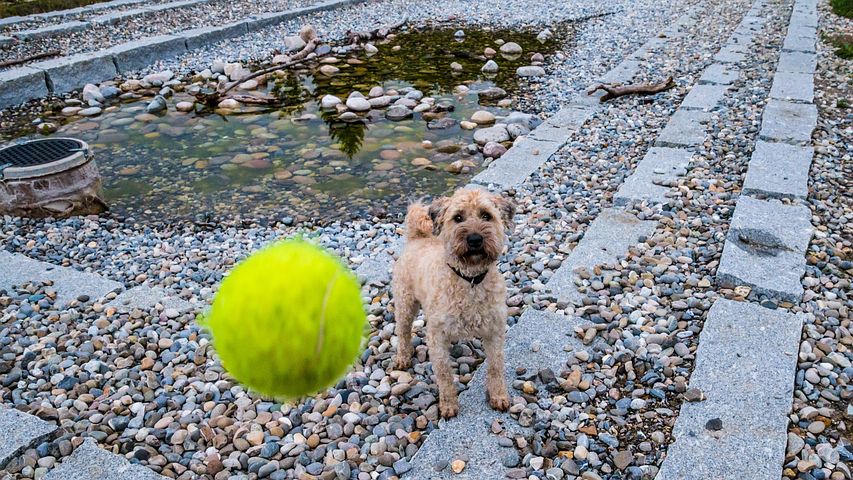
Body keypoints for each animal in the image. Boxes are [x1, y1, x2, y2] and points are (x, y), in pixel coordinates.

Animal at [392, 188, 516, 416]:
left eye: (486, 215)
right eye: (458, 218)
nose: (475, 239)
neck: (469, 280)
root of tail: (416, 238)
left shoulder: (495, 331)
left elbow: (495, 366)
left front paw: (498, 396)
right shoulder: (437, 337)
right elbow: (444, 374)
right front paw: (449, 404)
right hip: (405, 303)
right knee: (403, 333)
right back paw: (403, 357)